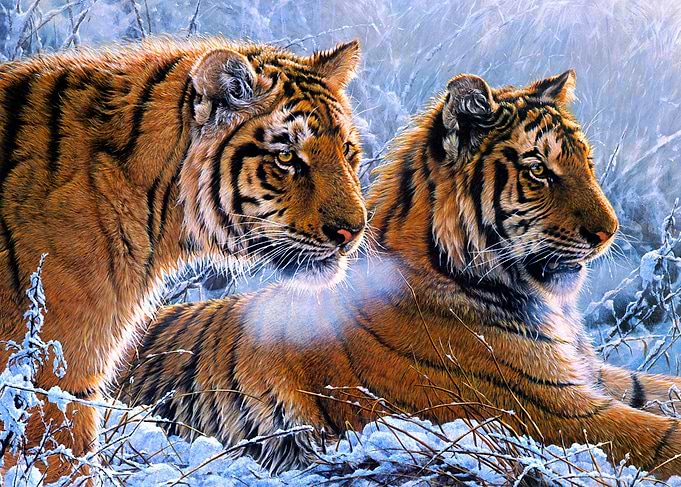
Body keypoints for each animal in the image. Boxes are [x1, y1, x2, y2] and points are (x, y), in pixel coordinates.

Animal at [123, 70, 681, 478]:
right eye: (538, 170)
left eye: (587, 162)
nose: (609, 232)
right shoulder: (546, 408)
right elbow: (656, 437)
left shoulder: (589, 374)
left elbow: (658, 388)